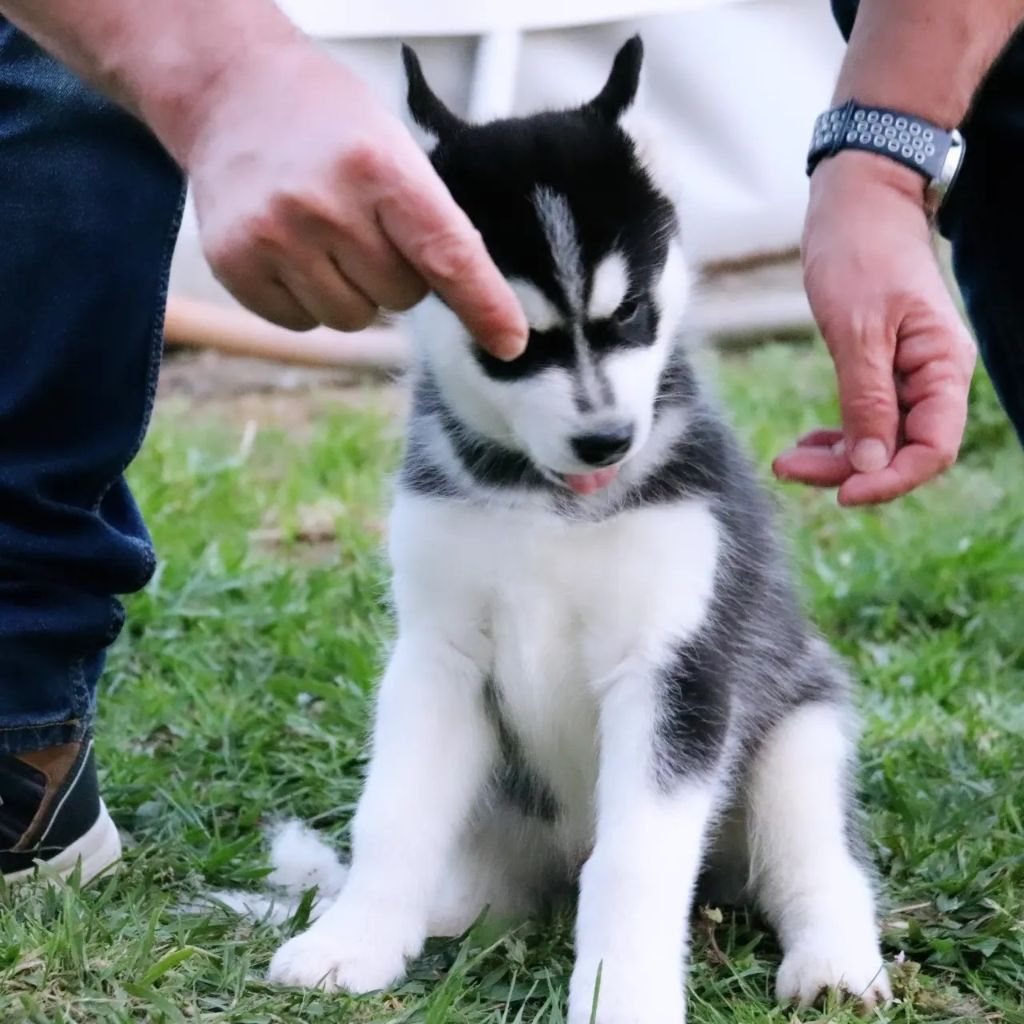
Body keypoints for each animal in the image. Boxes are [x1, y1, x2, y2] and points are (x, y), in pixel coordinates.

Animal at [262, 37, 892, 1022]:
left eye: (629, 312)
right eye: (513, 341)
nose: (608, 441)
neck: (547, 503)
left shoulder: (676, 669)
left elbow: (634, 860)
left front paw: (622, 994)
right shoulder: (438, 655)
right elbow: (391, 813)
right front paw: (352, 943)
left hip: (799, 736)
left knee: (816, 863)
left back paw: (832, 961)